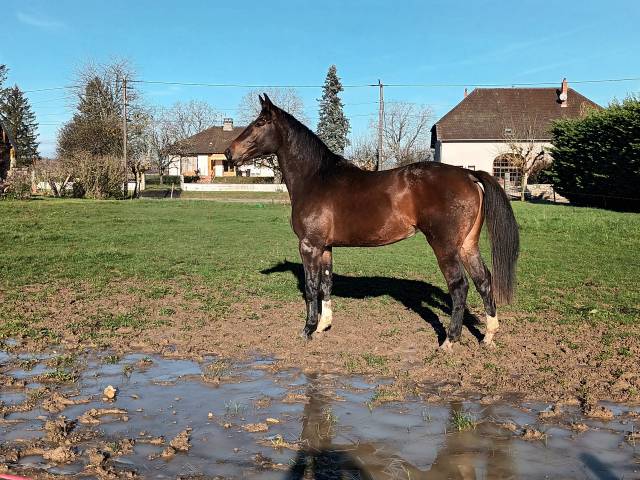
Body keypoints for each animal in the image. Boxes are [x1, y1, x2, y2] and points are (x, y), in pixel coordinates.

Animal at [226, 94, 520, 348]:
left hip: (445, 247)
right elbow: (326, 284)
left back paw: (449, 341)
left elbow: (311, 288)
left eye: (260, 123)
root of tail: (468, 175)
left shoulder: (309, 245)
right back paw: (488, 337)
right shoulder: (325, 247)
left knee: (459, 286)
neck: (316, 178)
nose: (229, 153)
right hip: (468, 245)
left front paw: (307, 330)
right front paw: (323, 326)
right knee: (483, 281)